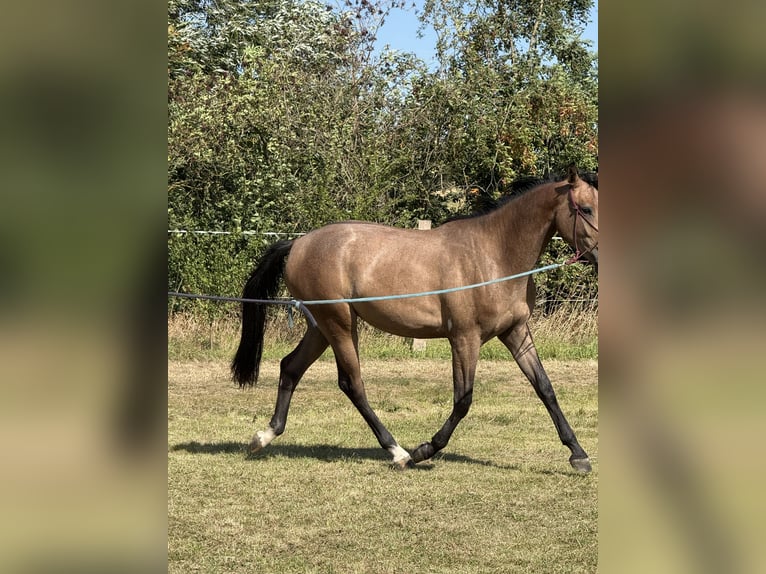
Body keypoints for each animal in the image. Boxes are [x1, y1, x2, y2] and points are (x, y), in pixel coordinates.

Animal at [231, 165, 598, 472]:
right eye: (586, 208)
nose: (601, 255)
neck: (493, 256)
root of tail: (298, 244)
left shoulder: (515, 332)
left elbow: (545, 388)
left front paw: (578, 455)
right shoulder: (464, 338)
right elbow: (463, 400)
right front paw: (425, 450)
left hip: (321, 326)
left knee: (291, 367)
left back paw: (263, 437)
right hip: (339, 324)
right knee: (352, 383)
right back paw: (398, 452)